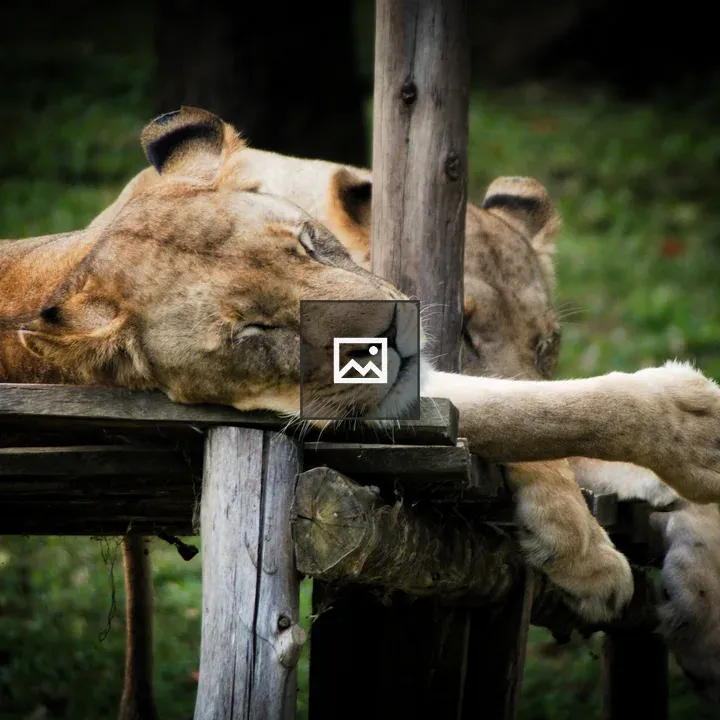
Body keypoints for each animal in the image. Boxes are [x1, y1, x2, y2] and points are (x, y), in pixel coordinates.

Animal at [4, 108, 720, 715]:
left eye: (308, 244)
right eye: (256, 330)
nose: (394, 331)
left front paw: (702, 605)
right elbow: (538, 426)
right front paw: (597, 546)